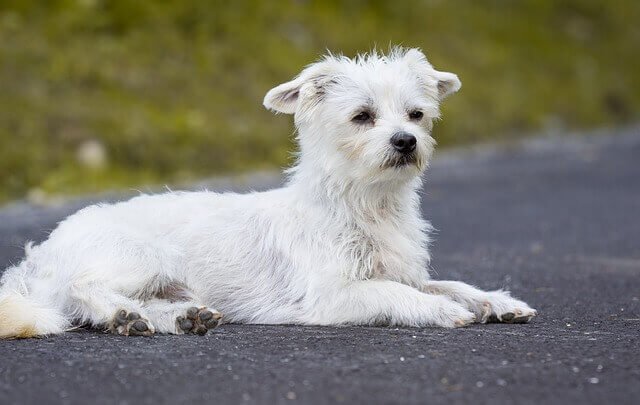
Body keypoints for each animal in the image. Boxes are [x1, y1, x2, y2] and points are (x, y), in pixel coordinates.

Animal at [0, 47, 536, 338]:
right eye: (362, 116)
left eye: (417, 114)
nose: (406, 141)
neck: (364, 204)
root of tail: (40, 255)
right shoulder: (333, 296)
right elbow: (395, 293)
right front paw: (442, 311)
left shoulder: (403, 271)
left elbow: (448, 283)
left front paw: (494, 300)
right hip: (142, 256)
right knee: (82, 289)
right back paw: (121, 314)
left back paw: (175, 318)